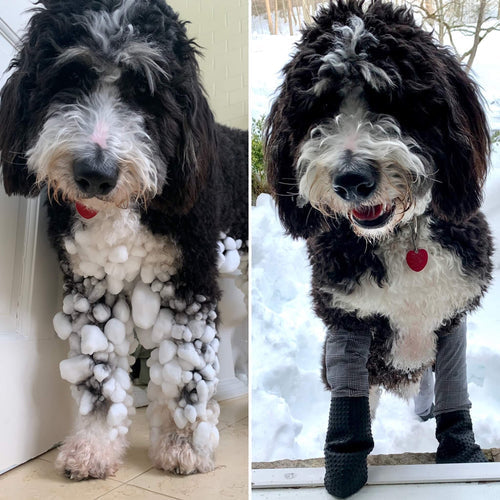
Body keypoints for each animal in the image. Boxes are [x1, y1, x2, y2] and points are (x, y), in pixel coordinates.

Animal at [0, 0, 248, 480]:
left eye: (144, 92)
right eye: (71, 77)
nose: (95, 174)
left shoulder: (189, 281)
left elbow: (186, 373)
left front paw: (184, 446)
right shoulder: (91, 287)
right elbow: (97, 377)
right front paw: (93, 447)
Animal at [266, 1, 492, 498]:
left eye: (392, 98)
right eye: (321, 106)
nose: (351, 179)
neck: (400, 240)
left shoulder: (451, 317)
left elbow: (455, 392)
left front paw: (461, 457)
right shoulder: (349, 321)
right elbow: (351, 406)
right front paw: (344, 466)